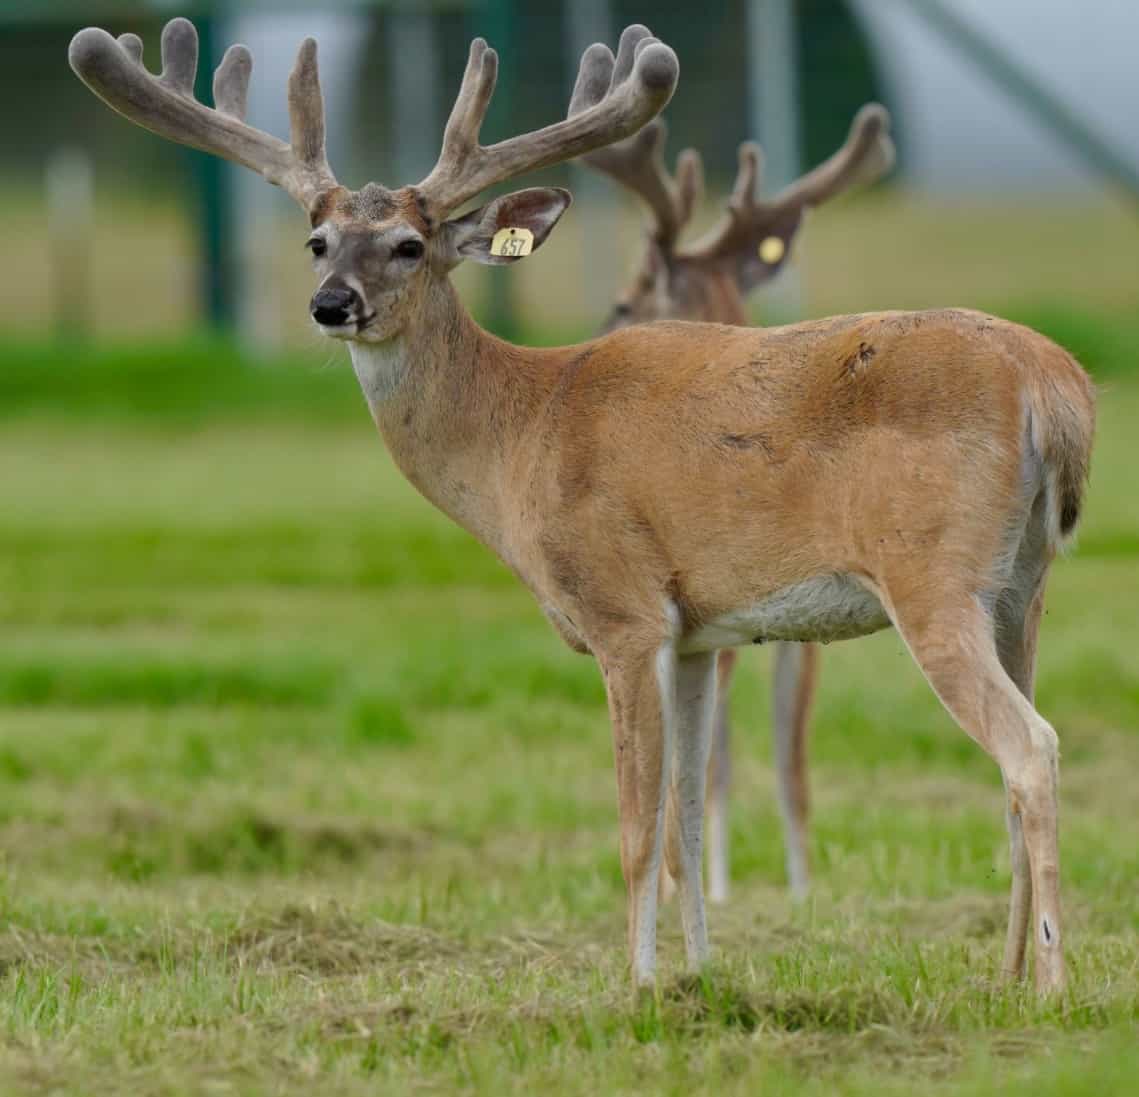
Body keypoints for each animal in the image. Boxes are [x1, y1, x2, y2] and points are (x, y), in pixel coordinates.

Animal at [581, 103, 895, 905]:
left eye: (624, 299)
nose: (592, 345)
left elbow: (755, 756)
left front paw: (755, 888)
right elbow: (769, 756)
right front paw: (775, 889)